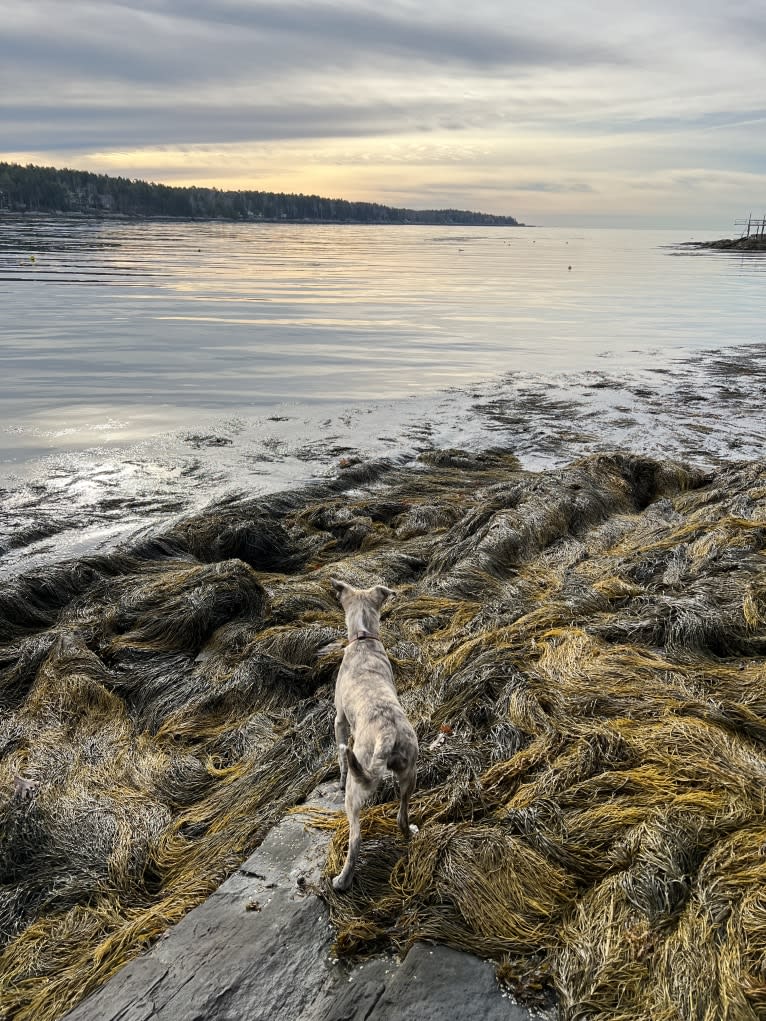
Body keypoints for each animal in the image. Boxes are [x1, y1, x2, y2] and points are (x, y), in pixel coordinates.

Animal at [330, 579, 420, 890]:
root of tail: (387, 732)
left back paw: (342, 880)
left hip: (356, 791)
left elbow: (340, 756)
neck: (363, 637)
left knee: (355, 839)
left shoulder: (339, 721)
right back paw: (409, 833)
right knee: (402, 815)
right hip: (409, 773)